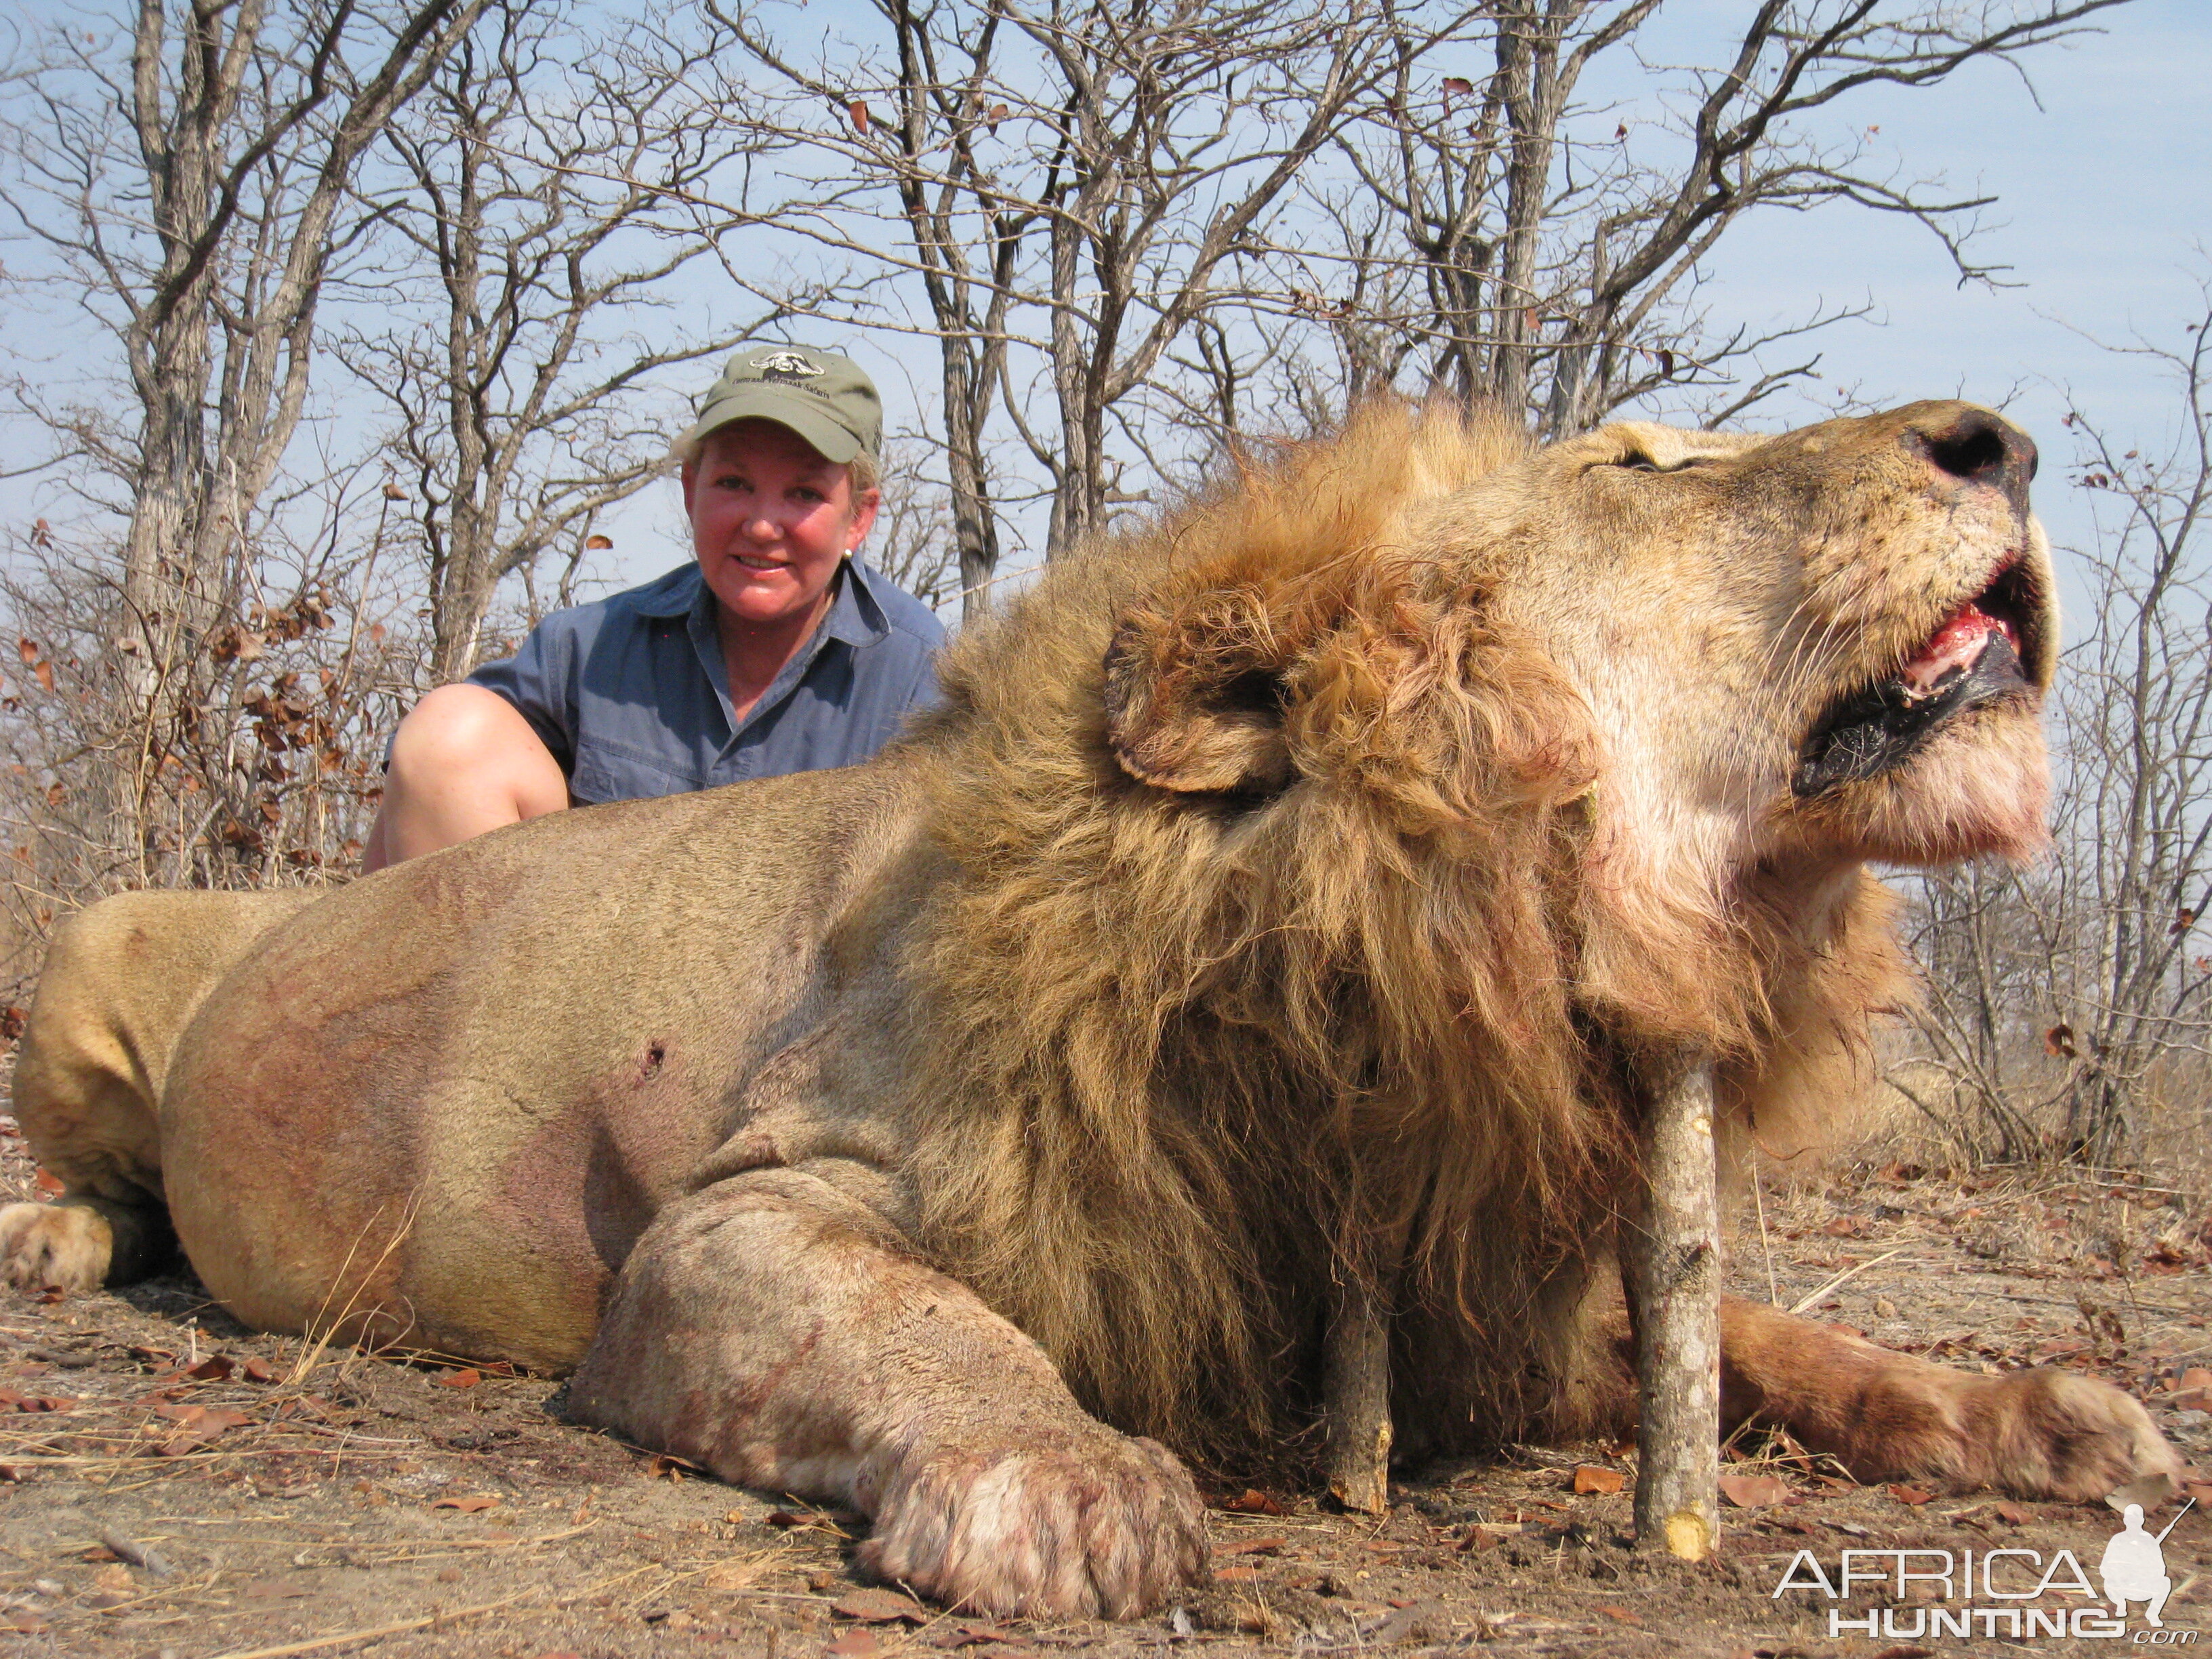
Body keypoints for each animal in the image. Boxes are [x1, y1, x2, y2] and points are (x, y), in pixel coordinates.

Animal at [0, 400, 2176, 1628]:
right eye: (1642, 466)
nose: (2000, 444)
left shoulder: (1491, 1290)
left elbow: (1786, 1347)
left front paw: (2033, 1410)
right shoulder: (734, 1213)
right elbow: (926, 1321)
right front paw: (1070, 1482)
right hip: (104, 934)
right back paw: (54, 1236)